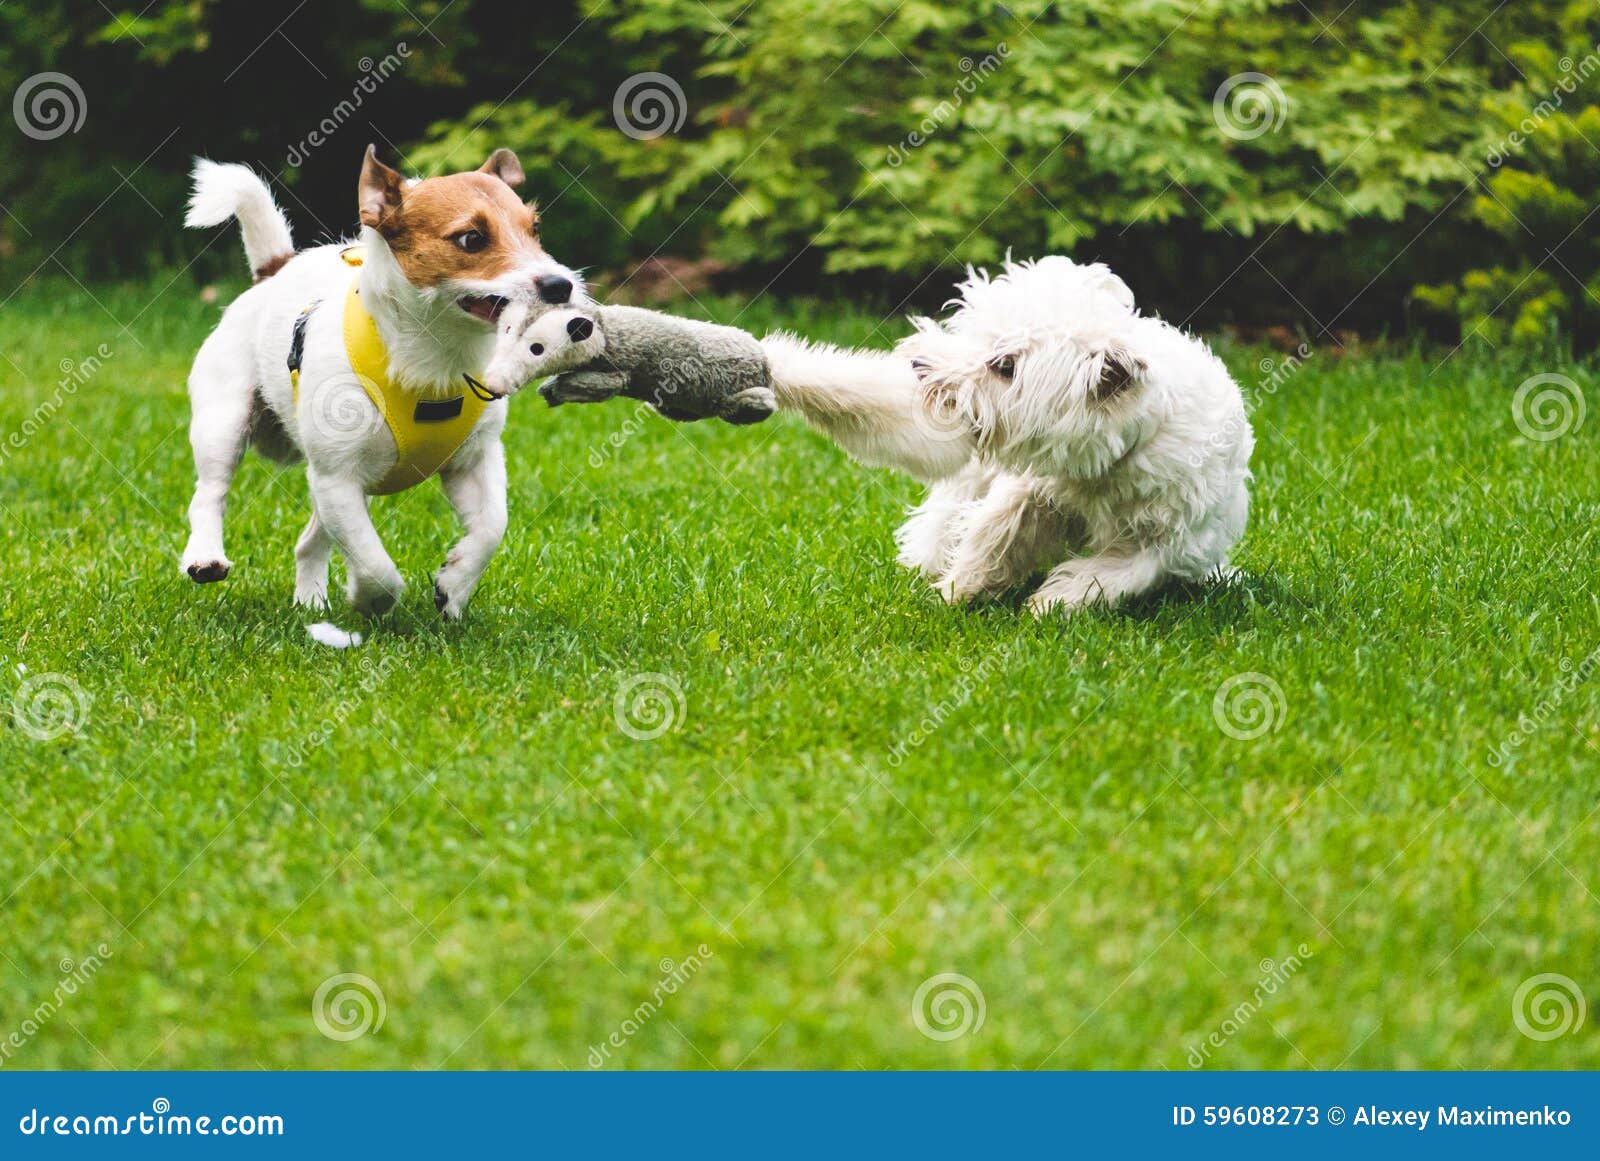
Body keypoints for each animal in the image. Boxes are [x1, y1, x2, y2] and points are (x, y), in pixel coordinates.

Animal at [183, 145, 582, 617]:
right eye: (471, 239)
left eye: (534, 228)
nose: (561, 285)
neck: (436, 361)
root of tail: (275, 270)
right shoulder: (338, 479)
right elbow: (374, 564)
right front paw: (369, 597)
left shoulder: (474, 462)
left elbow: (491, 528)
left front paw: (455, 585)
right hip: (224, 422)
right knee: (210, 492)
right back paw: (205, 556)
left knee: (309, 542)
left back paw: (311, 602)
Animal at [758, 255, 1248, 617]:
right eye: (975, 336)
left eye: (1005, 366)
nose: (921, 367)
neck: (1108, 464)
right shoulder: (1029, 490)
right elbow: (993, 534)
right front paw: (960, 589)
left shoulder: (1162, 545)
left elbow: (1110, 575)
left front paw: (1052, 603)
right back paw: (927, 557)